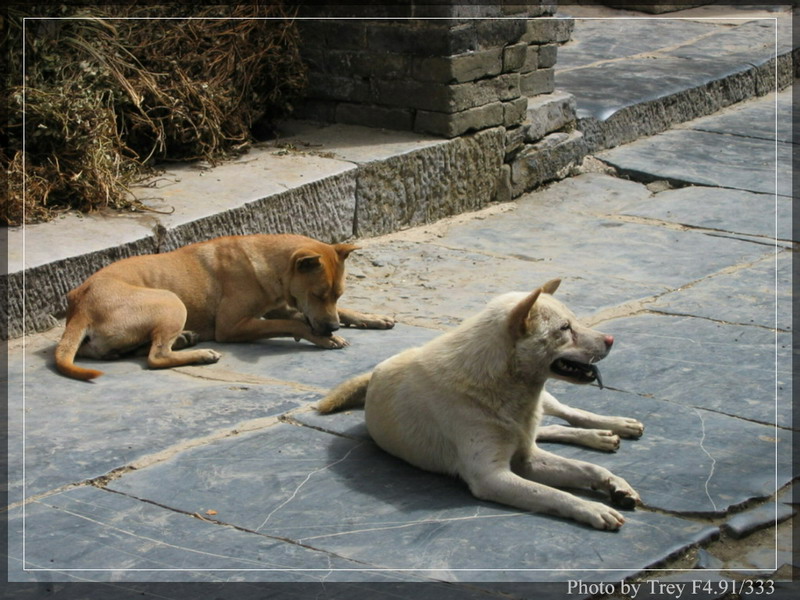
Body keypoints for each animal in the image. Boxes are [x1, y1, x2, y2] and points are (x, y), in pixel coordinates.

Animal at [55, 234, 394, 380]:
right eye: (319, 293)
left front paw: (373, 318)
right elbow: (295, 323)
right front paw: (322, 338)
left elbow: (340, 312)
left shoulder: (279, 306)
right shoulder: (233, 327)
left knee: (135, 349)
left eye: (337, 294)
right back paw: (201, 353)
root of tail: (79, 307)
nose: (332, 327)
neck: (271, 263)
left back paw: (185, 339)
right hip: (171, 302)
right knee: (156, 356)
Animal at [317, 279, 642, 530]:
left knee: (564, 414)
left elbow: (588, 468)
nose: (611, 339)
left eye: (574, 321)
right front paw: (594, 509)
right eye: (565, 328)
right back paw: (600, 436)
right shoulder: (494, 476)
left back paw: (612, 427)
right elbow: (554, 493)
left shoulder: (527, 459)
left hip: (546, 405)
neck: (499, 384)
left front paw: (615, 483)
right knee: (544, 430)